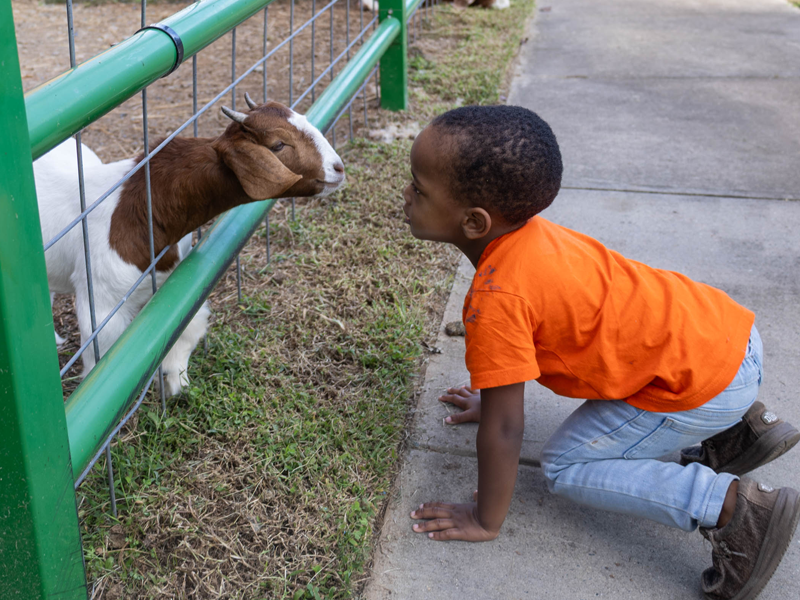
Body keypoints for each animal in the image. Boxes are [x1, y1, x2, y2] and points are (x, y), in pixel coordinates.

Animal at [35, 95, 345, 396]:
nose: (338, 168)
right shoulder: (101, 304)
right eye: (278, 144)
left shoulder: (172, 282)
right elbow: (102, 371)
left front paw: (176, 380)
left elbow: (186, 328)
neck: (141, 206)